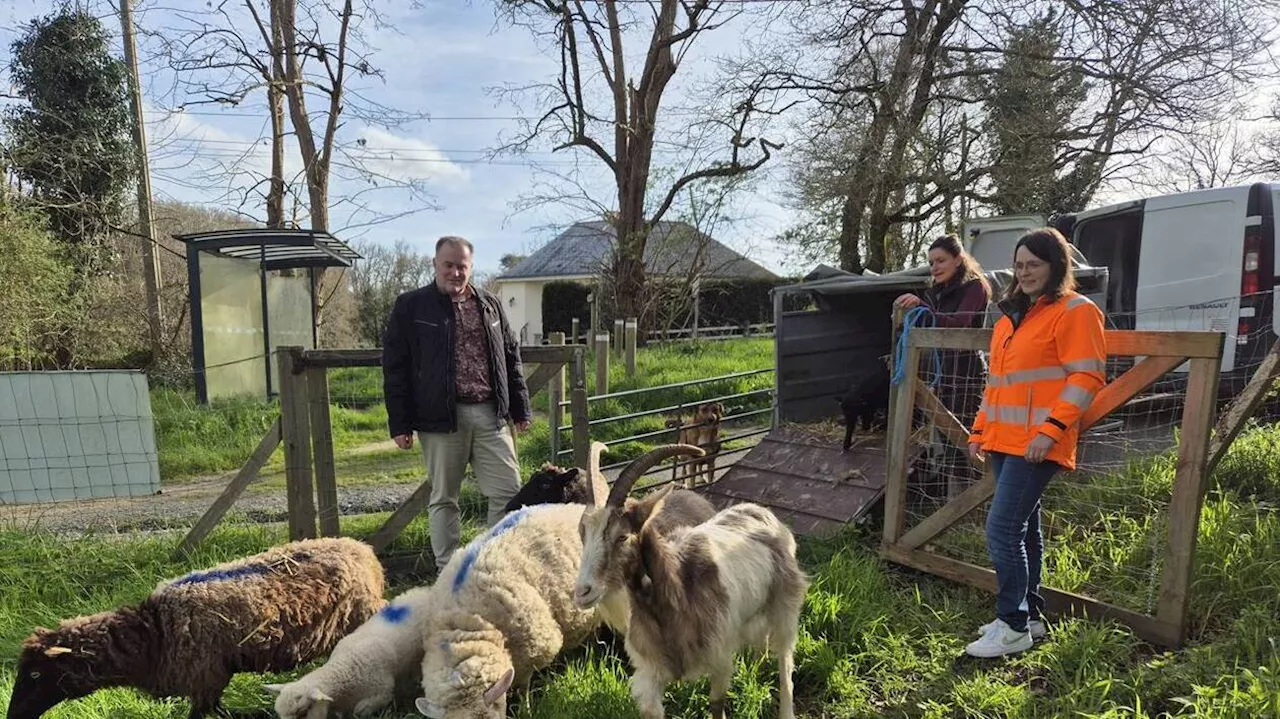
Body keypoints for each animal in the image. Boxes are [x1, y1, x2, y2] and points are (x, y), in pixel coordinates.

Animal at [6, 534, 384, 711]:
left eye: (36, 674)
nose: (13, 716)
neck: (153, 634)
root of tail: (361, 548)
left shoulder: (206, 678)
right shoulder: (207, 682)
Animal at [262, 583, 437, 716]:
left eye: (303, 713)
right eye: (280, 715)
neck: (344, 669)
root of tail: (425, 590)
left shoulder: (381, 693)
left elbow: (360, 711)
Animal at [573, 442, 803, 716]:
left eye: (622, 536)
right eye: (582, 534)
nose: (582, 592)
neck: (678, 587)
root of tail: (760, 512)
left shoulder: (720, 656)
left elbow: (716, 703)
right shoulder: (650, 671)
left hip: (786, 606)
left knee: (785, 664)